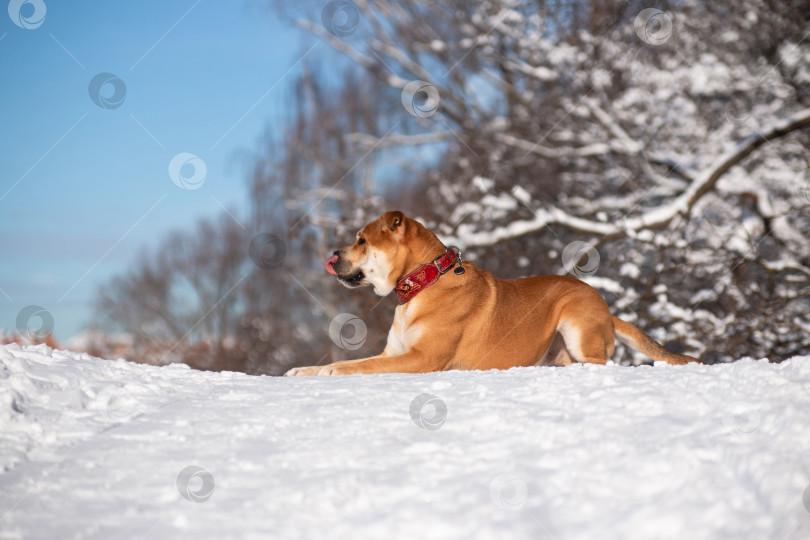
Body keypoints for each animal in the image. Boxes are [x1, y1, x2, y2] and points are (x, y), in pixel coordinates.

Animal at [286, 211, 700, 376]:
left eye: (361, 240)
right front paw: (305, 370)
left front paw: (333, 370)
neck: (423, 282)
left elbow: (359, 366)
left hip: (575, 324)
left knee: (599, 363)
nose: (333, 254)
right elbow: (357, 360)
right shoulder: (395, 352)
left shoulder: (421, 358)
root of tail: (605, 306)